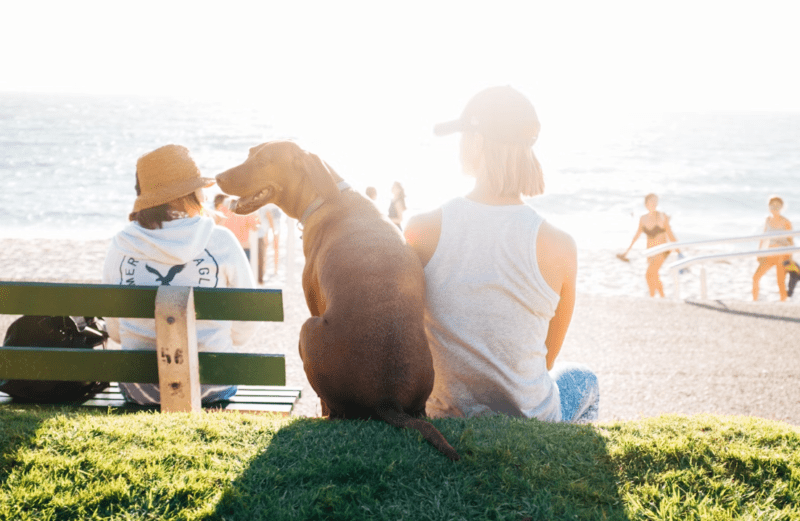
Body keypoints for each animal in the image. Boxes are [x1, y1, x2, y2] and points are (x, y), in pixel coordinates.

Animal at [216, 141, 460, 460]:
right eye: (249, 154)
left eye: (264, 161)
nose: (217, 177)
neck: (326, 195)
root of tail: (388, 399)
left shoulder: (313, 301)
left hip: (307, 329)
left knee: (334, 411)